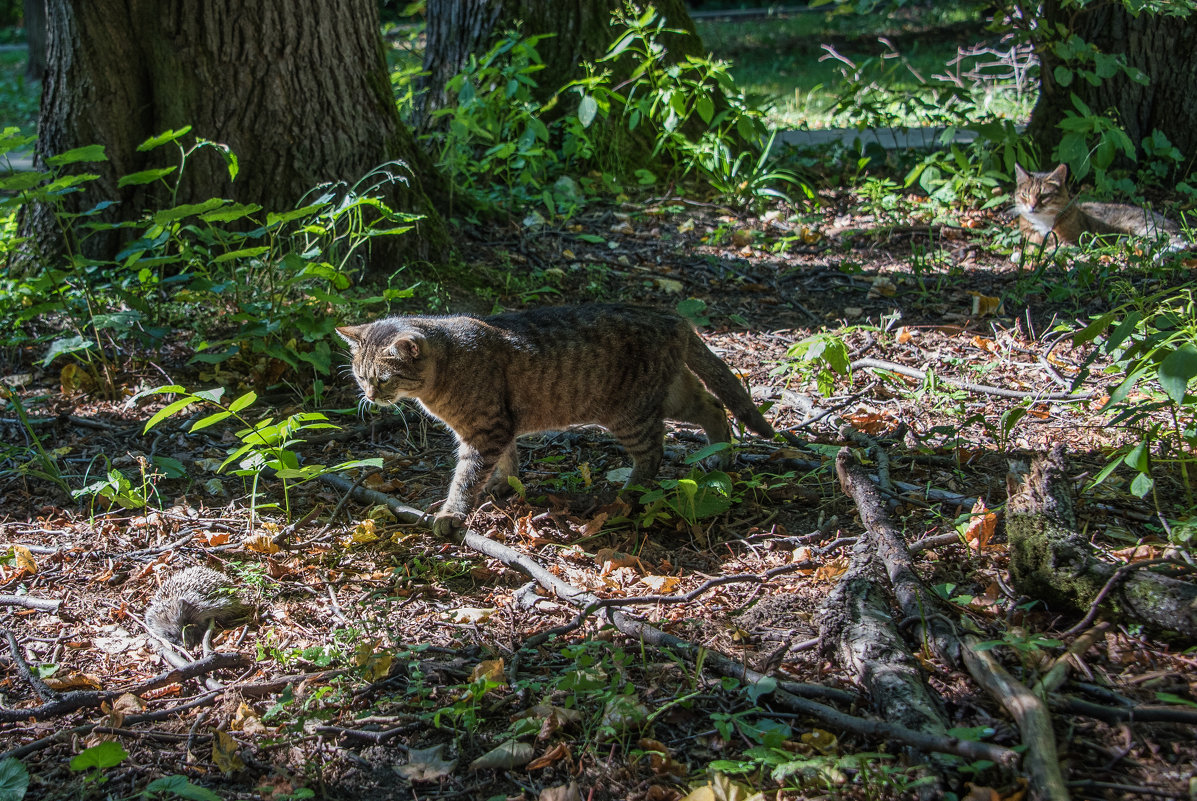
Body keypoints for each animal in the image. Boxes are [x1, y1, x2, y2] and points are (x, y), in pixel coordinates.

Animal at [337, 302, 775, 534]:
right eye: (360, 376)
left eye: (382, 378)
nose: (370, 396)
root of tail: (673, 319)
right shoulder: (499, 427)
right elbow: (507, 461)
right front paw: (503, 486)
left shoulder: (486, 430)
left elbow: (466, 477)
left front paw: (453, 514)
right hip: (673, 393)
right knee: (713, 404)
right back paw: (721, 455)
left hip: (631, 413)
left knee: (655, 452)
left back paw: (628, 494)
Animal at [1010, 162, 1187, 250]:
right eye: (1025, 195)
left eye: (1044, 196)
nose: (1032, 206)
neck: (1043, 222)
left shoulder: (1075, 239)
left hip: (1144, 226)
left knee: (1177, 240)